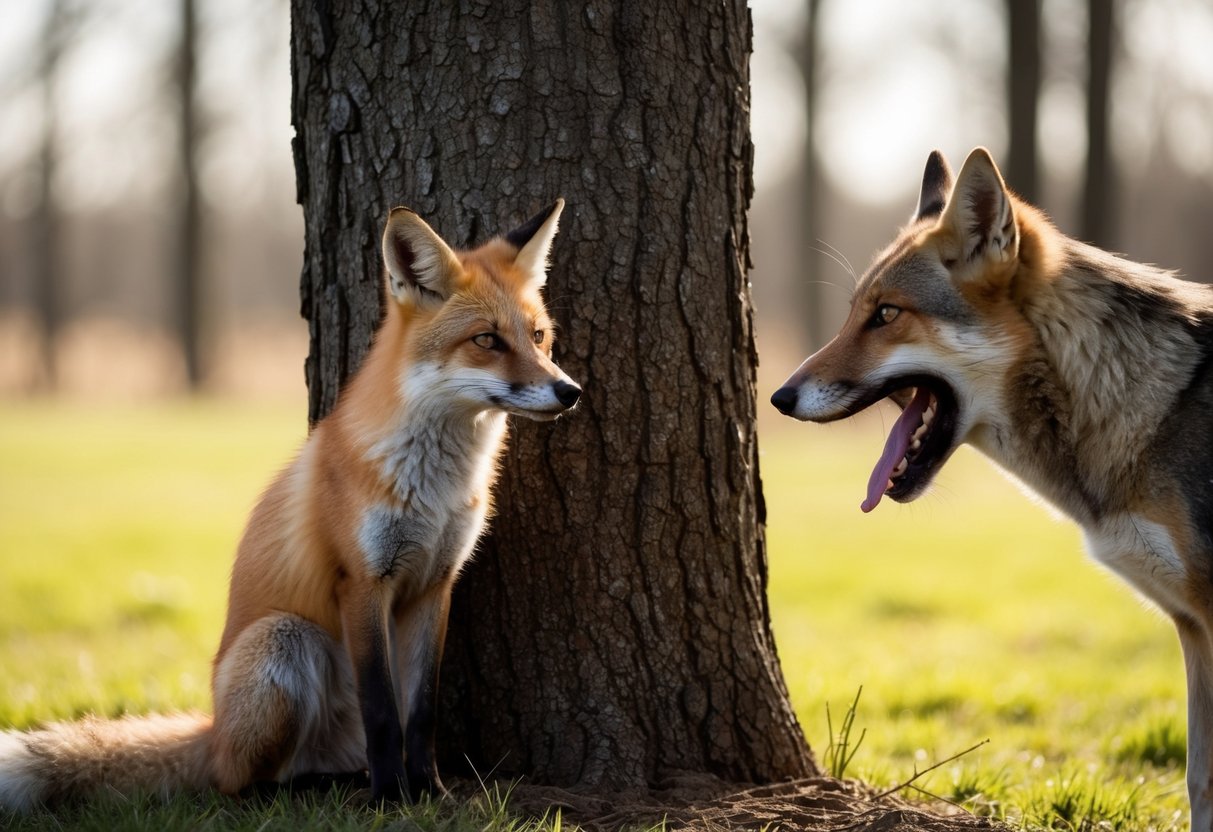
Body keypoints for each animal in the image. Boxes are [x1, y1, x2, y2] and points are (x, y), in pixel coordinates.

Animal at [0, 200, 581, 810]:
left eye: (539, 337)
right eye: (487, 340)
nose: (570, 392)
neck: (433, 488)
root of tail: (212, 730)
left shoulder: (435, 583)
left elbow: (419, 713)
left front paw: (428, 789)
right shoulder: (361, 581)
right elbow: (382, 712)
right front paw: (390, 799)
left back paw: (340, 781)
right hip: (284, 639)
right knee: (239, 783)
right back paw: (314, 790)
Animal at [771, 147, 1213, 829]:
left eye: (886, 314)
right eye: (852, 313)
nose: (777, 397)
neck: (1155, 409)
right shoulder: (1191, 627)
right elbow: (1198, 781)